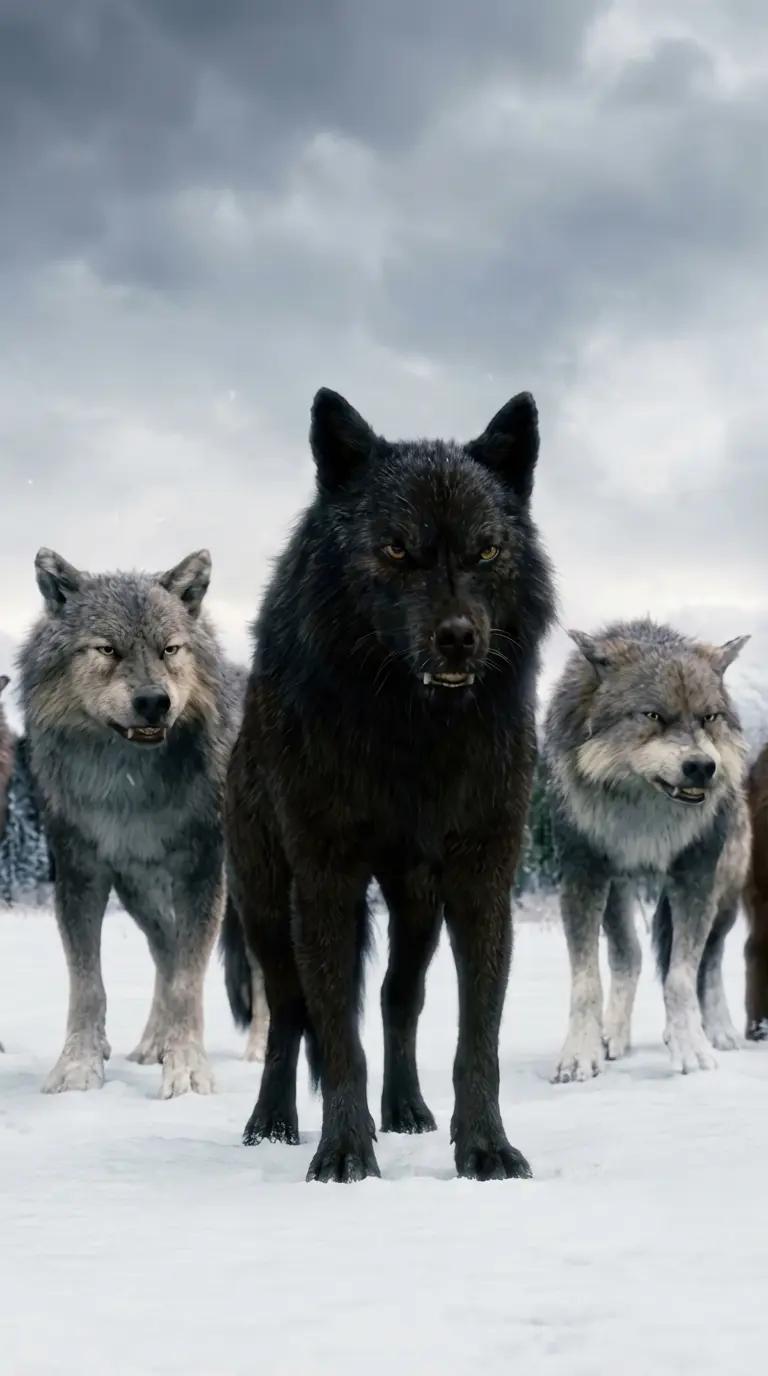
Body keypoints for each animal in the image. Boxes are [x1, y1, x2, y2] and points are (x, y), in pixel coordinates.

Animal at [20, 547, 244, 1097]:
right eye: (107, 649)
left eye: (169, 649)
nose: (154, 702)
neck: (128, 791)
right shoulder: (80, 873)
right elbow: (88, 984)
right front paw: (79, 1067)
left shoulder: (202, 874)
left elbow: (188, 982)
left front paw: (187, 1071)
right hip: (141, 896)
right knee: (165, 951)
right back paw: (151, 1045)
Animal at [225, 386, 555, 1182]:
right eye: (398, 547)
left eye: (486, 549)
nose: (459, 637)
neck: (411, 730)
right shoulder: (325, 880)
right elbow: (337, 1039)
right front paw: (344, 1152)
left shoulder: (479, 878)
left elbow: (478, 1041)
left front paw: (486, 1149)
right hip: (266, 908)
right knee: (289, 1014)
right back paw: (272, 1125)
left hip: (417, 908)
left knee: (398, 999)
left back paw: (406, 1110)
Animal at [544, 619, 750, 1081]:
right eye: (653, 715)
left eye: (709, 718)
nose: (702, 767)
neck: (645, 813)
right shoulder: (584, 873)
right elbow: (587, 982)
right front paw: (580, 1055)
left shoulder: (694, 876)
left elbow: (681, 978)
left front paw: (693, 1050)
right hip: (619, 889)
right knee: (630, 955)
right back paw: (615, 1035)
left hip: (724, 898)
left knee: (709, 962)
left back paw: (719, 1032)